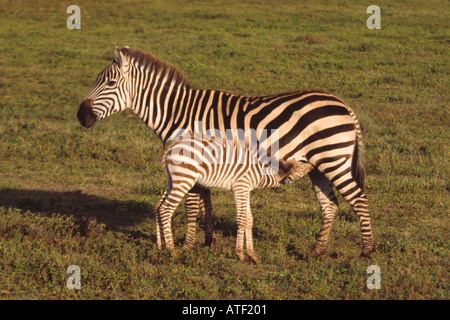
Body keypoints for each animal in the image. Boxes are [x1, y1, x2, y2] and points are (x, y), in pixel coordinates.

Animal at [158, 135, 312, 262]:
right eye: (301, 167)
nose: (312, 165)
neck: (261, 171)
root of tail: (172, 145)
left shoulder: (246, 190)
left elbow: (249, 220)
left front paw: (252, 255)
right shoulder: (240, 187)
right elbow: (242, 219)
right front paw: (240, 255)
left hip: (173, 180)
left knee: (159, 206)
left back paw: (160, 246)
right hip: (185, 179)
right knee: (166, 209)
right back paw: (172, 251)